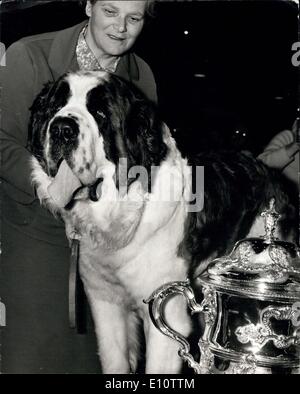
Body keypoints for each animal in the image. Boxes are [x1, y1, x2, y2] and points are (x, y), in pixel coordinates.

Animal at [27, 70, 296, 372]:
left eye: (100, 113)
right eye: (55, 106)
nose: (61, 128)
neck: (121, 215)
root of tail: (273, 175)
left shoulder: (164, 313)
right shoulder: (106, 303)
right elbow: (115, 359)